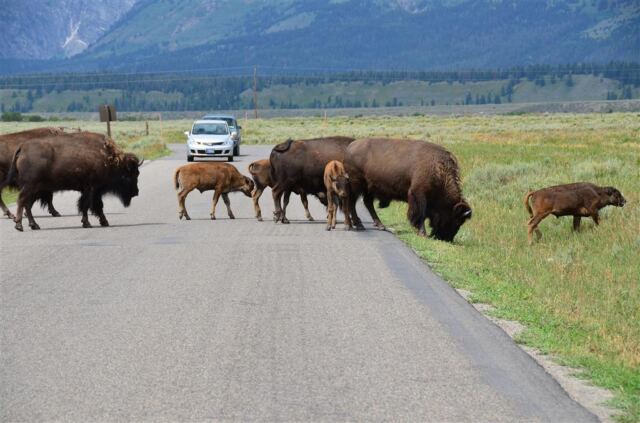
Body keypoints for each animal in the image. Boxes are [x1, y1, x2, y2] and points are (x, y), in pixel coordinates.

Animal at [7, 131, 142, 231]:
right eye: (130, 175)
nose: (136, 192)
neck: (109, 158)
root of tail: (22, 147)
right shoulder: (91, 189)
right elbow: (87, 206)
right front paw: (88, 223)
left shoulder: (94, 191)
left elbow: (96, 206)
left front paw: (103, 222)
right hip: (30, 187)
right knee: (22, 201)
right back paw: (19, 226)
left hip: (35, 190)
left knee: (27, 205)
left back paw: (34, 225)